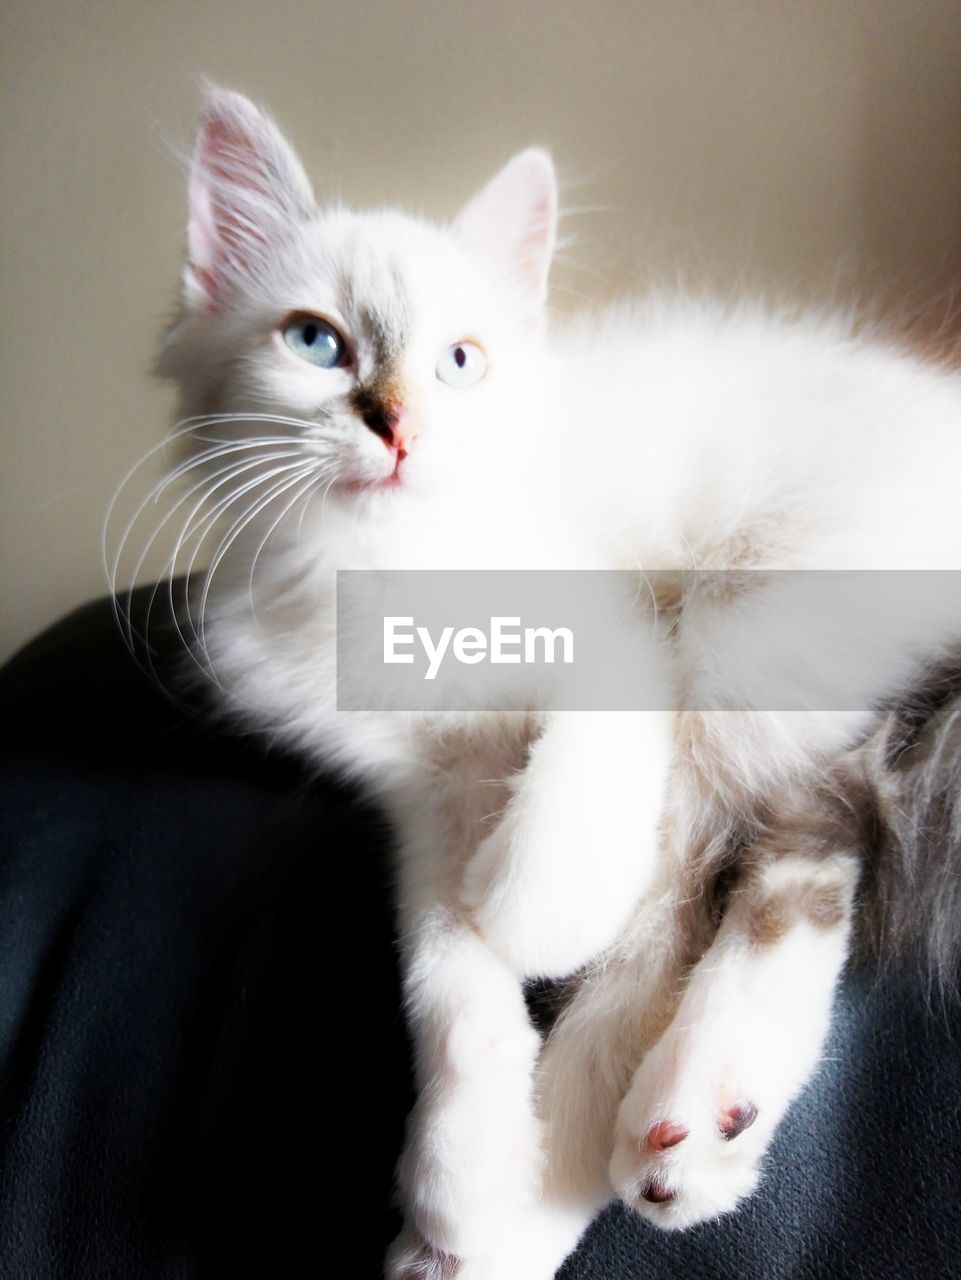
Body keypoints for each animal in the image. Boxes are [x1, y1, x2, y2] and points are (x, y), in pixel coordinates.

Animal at [116, 85, 961, 1274]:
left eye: (461, 361)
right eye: (316, 342)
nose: (397, 423)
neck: (385, 572)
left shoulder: (628, 641)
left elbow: (555, 859)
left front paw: (531, 910)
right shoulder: (420, 794)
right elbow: (439, 964)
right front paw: (460, 1163)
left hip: (755, 618)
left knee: (716, 877)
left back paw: (644, 1129)